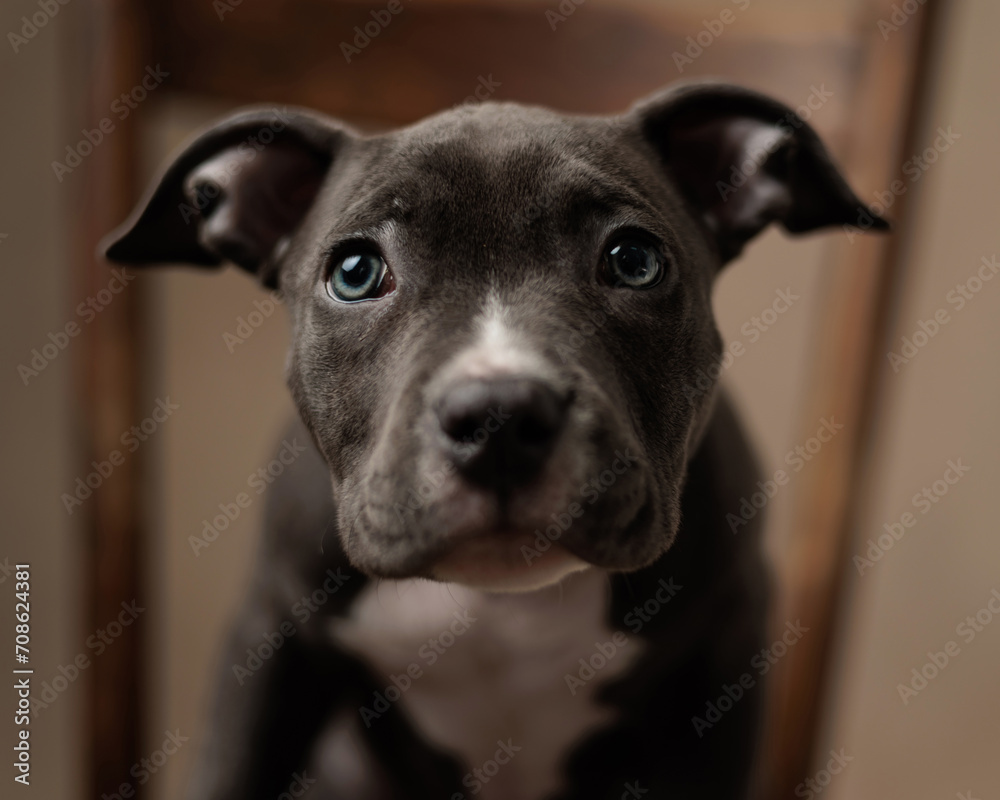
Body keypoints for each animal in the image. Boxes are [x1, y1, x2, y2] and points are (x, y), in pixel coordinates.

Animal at [99, 83, 884, 800]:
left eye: (634, 259)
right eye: (355, 272)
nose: (499, 416)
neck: (499, 603)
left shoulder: (724, 655)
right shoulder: (272, 636)